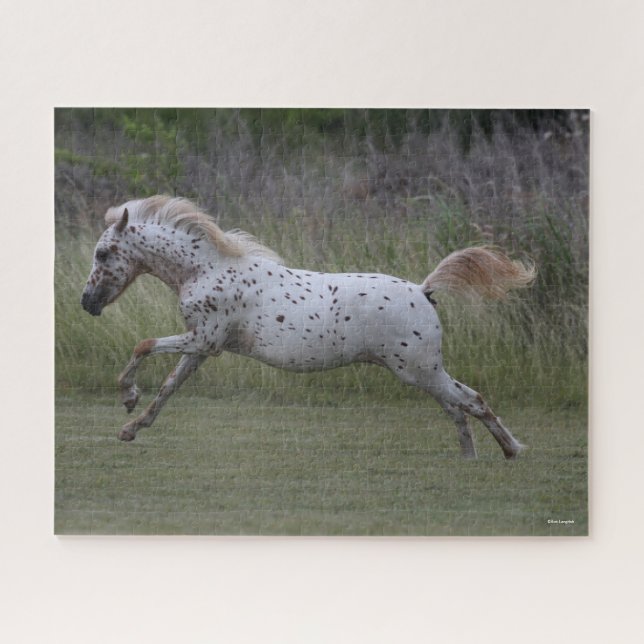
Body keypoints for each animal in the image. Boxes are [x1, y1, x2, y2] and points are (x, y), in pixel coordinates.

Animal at [81, 195, 536, 459]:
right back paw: (476, 456)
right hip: (425, 371)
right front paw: (131, 428)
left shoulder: (204, 340)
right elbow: (168, 388)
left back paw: (511, 450)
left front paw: (127, 399)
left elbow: (143, 345)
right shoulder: (201, 347)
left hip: (418, 370)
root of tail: (423, 291)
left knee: (469, 401)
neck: (206, 269)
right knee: (459, 404)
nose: (87, 303)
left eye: (103, 254)